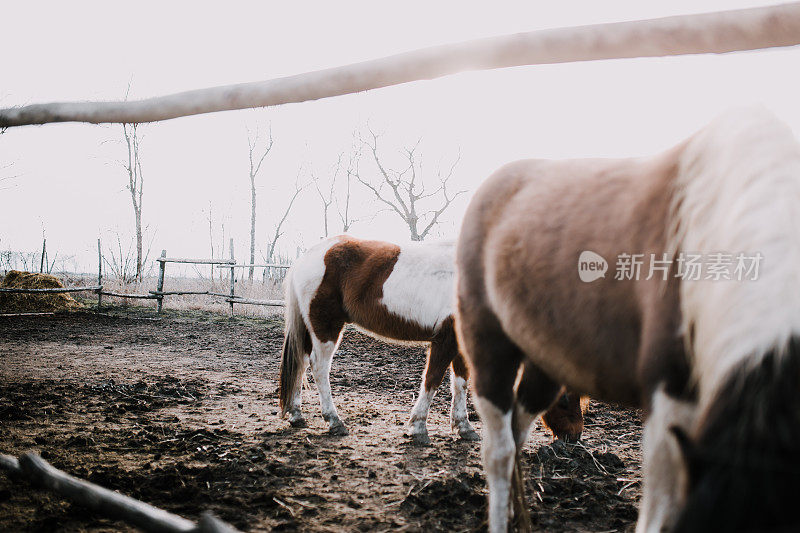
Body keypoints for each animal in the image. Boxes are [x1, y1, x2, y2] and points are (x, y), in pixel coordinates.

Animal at [278, 235, 584, 442]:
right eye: (565, 400)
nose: (575, 436)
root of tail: (310, 256)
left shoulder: (461, 344)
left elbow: (460, 382)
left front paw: (463, 427)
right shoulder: (445, 339)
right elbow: (433, 378)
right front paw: (418, 427)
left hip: (310, 328)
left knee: (301, 362)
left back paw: (296, 414)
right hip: (326, 327)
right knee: (319, 367)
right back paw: (334, 421)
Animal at [456, 108, 800, 532]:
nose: (574, 439)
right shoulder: (670, 395)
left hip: (544, 363)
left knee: (517, 434)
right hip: (489, 349)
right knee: (499, 451)